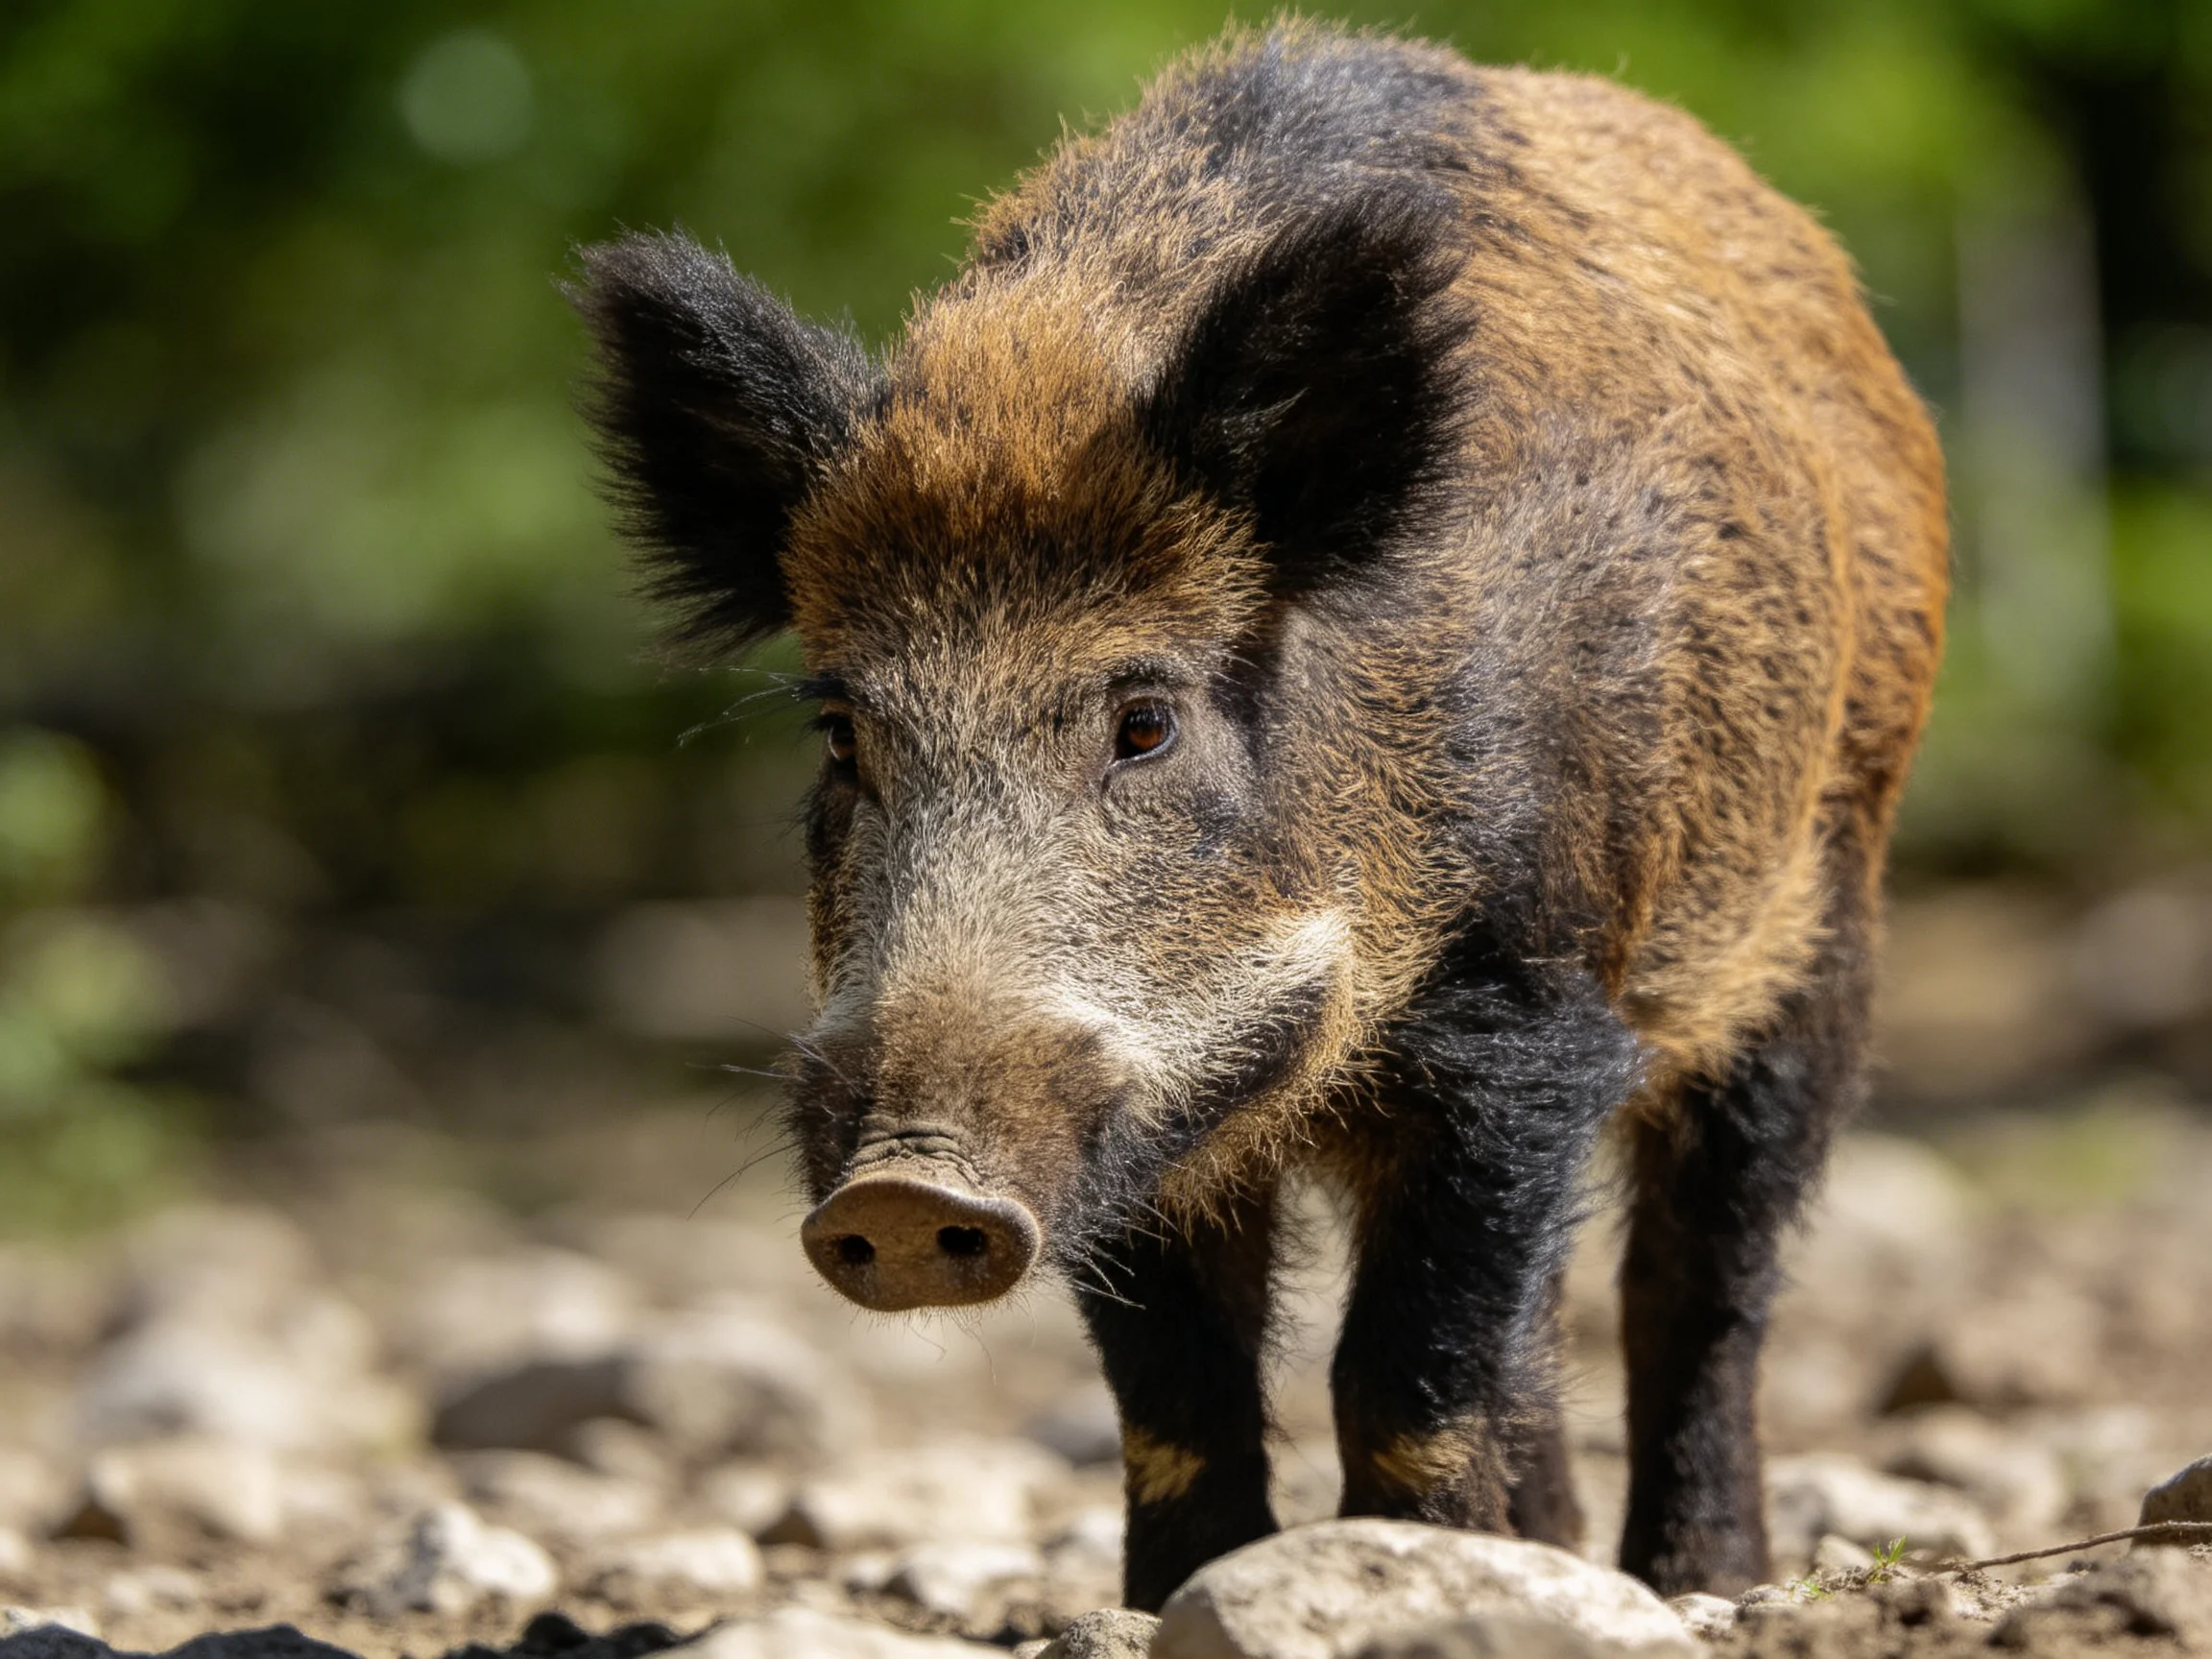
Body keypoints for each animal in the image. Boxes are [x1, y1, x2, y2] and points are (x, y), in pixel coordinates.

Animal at [573, 21, 1947, 1610]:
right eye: (844, 733)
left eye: (1145, 720)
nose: (905, 1193)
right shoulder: (1143, 1126)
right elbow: (1179, 1390)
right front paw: (1181, 1603)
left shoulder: (1529, 1015)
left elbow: (1411, 1366)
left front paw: (1410, 1570)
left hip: (1822, 911)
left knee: (1702, 1281)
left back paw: (1695, 1583)